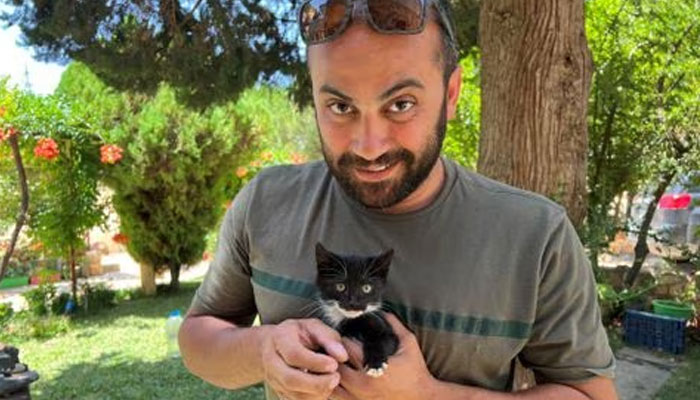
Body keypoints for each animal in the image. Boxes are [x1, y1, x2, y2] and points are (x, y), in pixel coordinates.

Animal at [314, 242, 396, 376]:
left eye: (366, 288)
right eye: (340, 286)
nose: (353, 302)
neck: (351, 321)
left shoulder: (385, 327)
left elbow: (384, 341)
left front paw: (375, 364)